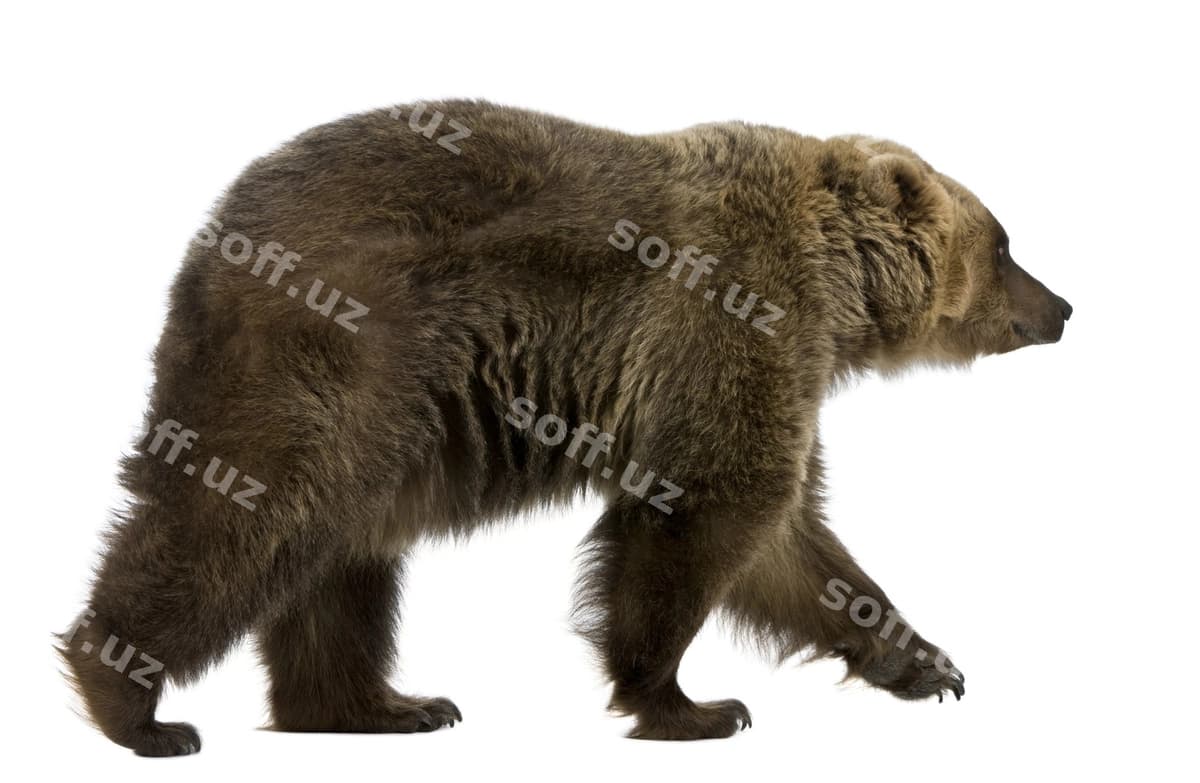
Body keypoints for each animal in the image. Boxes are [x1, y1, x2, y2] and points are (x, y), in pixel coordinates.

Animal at [57, 100, 1071, 755]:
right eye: (1007, 243)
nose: (1062, 306)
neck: (834, 288)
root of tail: (217, 234)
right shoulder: (735, 319)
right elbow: (714, 507)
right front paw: (691, 703)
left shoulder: (781, 366)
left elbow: (795, 539)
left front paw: (926, 662)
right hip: (341, 353)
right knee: (244, 517)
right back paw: (135, 703)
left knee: (341, 559)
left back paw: (382, 705)